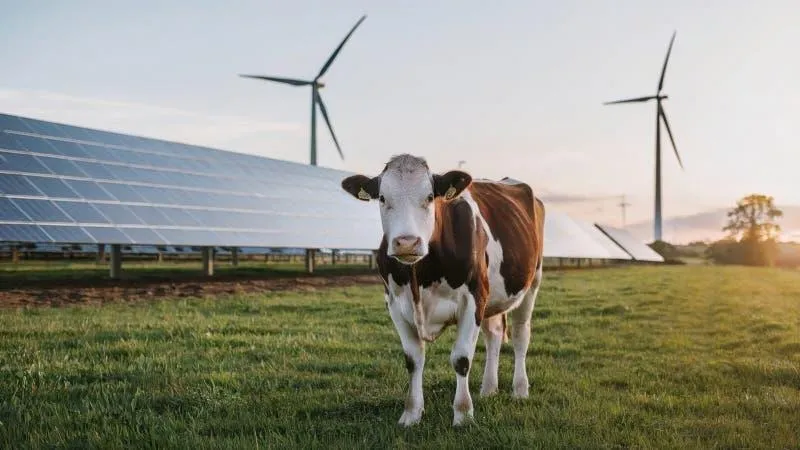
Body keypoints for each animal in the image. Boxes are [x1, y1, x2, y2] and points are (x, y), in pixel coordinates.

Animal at [340, 154, 548, 426]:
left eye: (430, 196)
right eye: (383, 198)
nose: (407, 242)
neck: (420, 277)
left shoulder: (473, 298)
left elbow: (461, 359)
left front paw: (463, 414)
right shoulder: (394, 303)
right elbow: (413, 360)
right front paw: (411, 413)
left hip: (531, 282)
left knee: (521, 336)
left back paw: (520, 390)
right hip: (492, 297)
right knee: (493, 335)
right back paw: (488, 389)